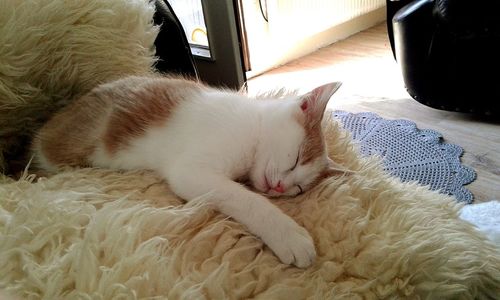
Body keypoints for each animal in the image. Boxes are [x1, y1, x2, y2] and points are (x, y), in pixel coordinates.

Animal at [32, 74, 344, 268]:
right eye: (296, 158)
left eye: (299, 189)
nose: (280, 188)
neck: (254, 128)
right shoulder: (192, 172)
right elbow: (249, 200)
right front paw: (288, 233)